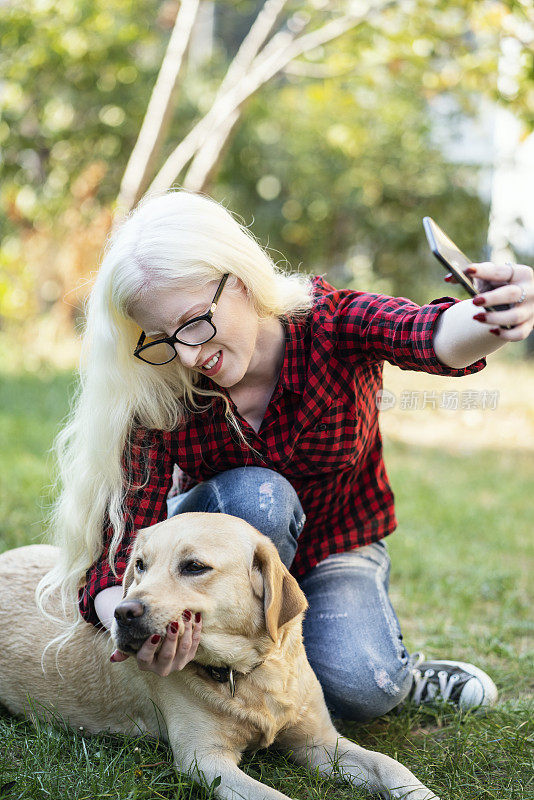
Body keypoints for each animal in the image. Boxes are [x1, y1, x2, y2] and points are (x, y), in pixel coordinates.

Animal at [0, 512, 440, 800]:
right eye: (139, 565)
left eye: (194, 566)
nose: (123, 613)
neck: (251, 674)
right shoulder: (206, 760)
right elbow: (274, 797)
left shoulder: (320, 742)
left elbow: (389, 763)